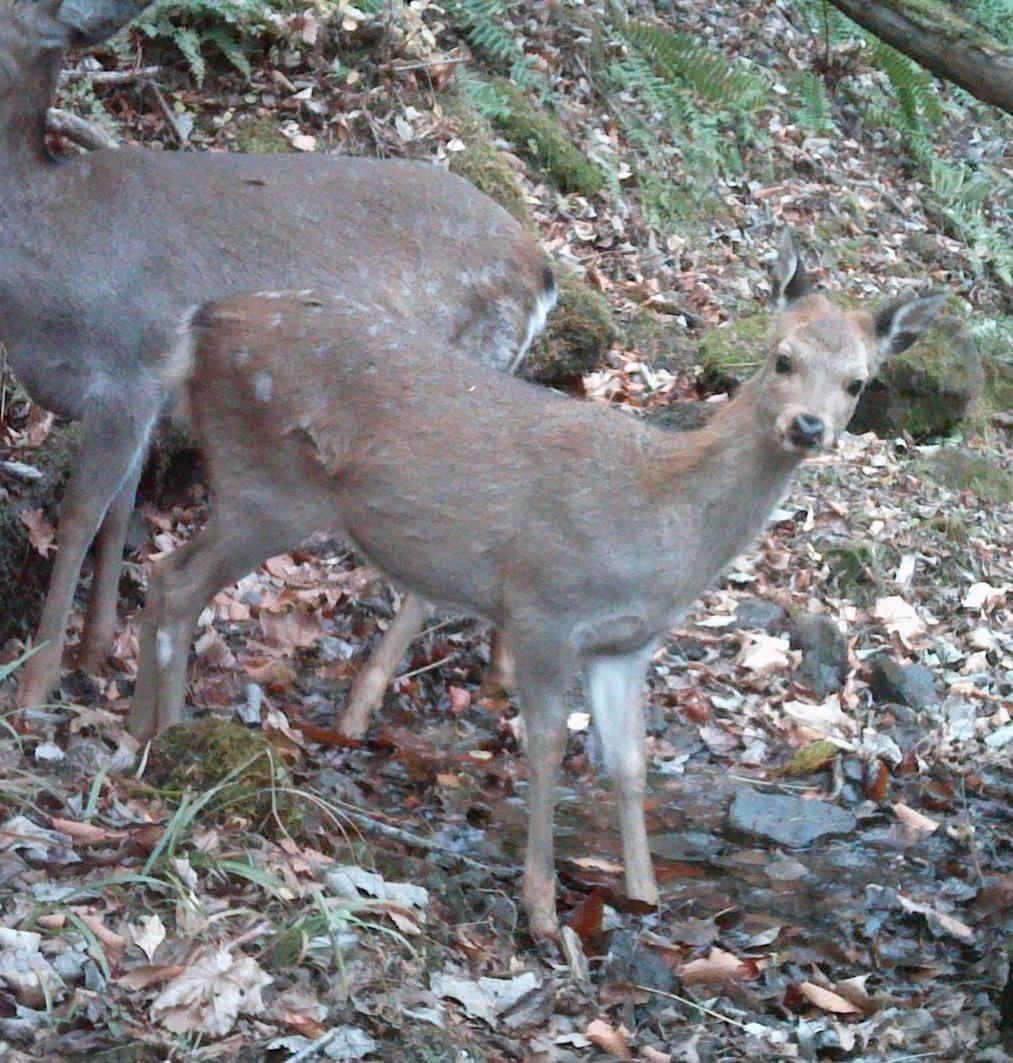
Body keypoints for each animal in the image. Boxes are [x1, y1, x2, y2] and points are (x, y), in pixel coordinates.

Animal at [1, 4, 552, 714]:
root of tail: (541, 273)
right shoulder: (141, 396)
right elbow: (121, 511)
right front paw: (94, 654)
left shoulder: (130, 367)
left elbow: (78, 517)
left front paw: (36, 684)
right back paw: (497, 674)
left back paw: (362, 703)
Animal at [128, 234, 948, 939]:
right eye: (781, 358)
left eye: (858, 383)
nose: (809, 425)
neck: (664, 520)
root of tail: (198, 327)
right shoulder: (543, 602)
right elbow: (549, 743)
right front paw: (544, 908)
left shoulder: (626, 643)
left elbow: (629, 761)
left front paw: (644, 895)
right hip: (267, 482)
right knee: (175, 578)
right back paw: (167, 735)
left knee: (165, 580)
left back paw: (140, 734)